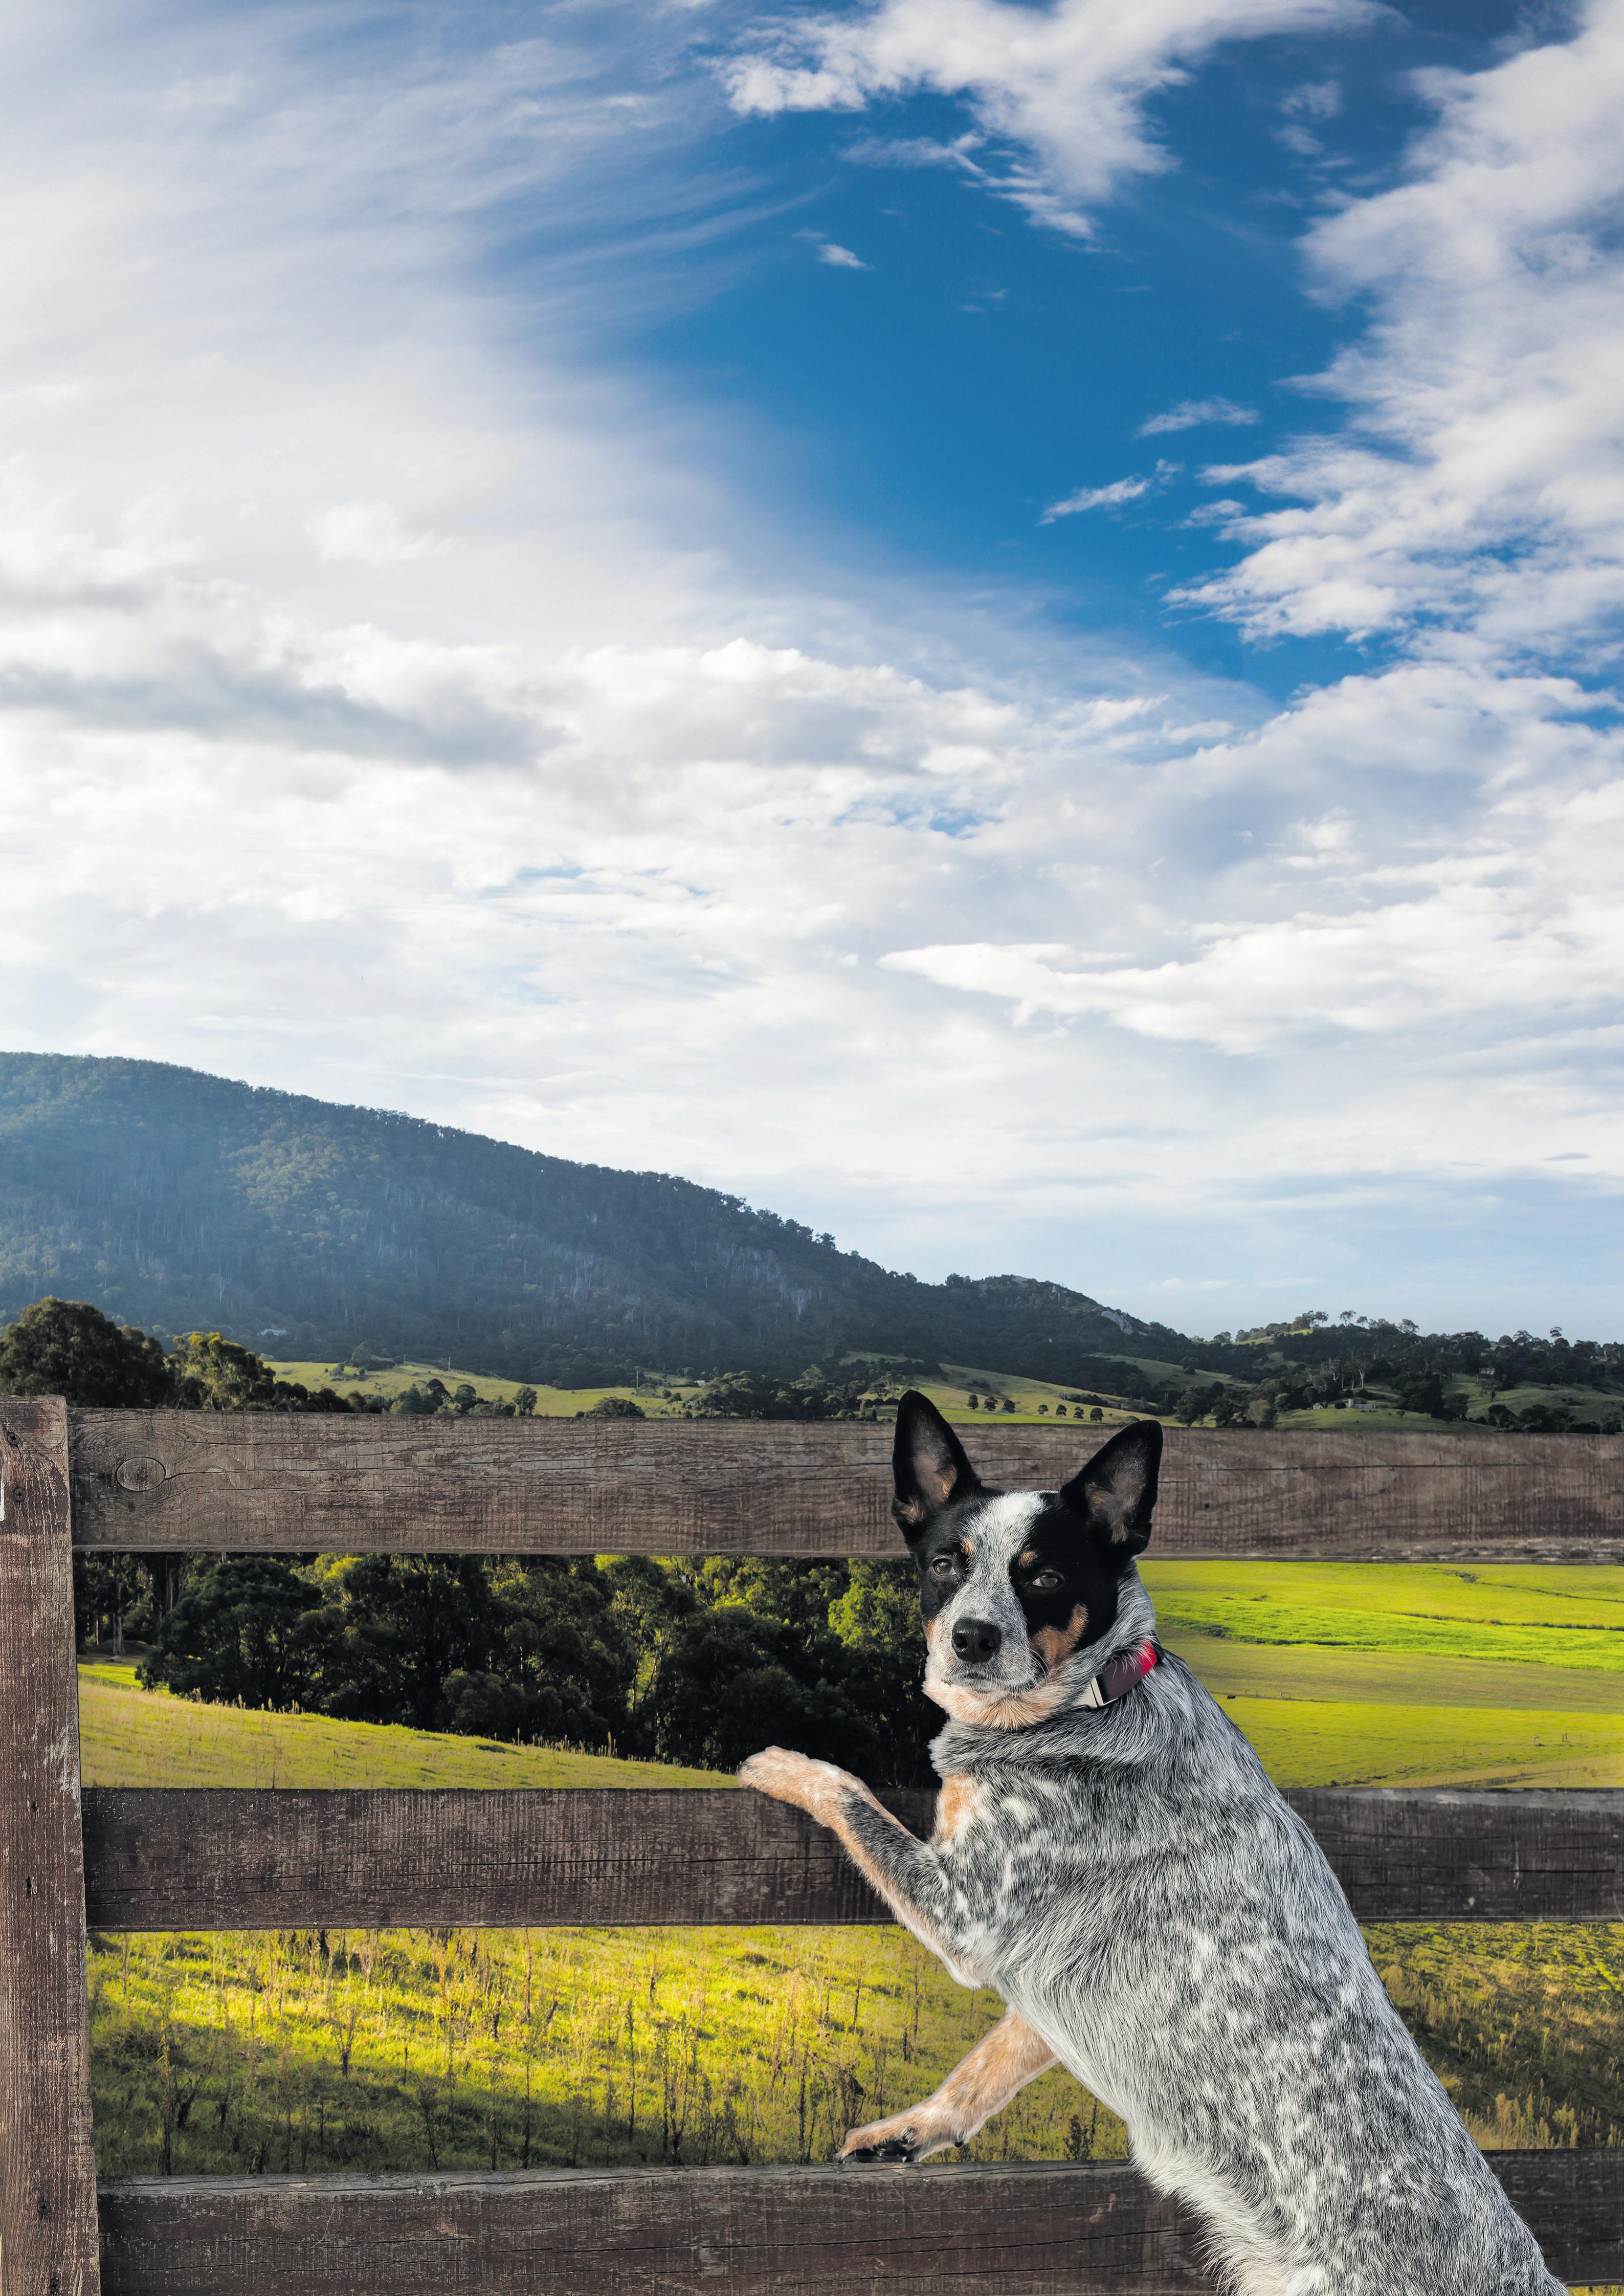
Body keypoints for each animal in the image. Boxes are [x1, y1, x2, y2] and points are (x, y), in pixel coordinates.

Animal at [738, 1393, 1565, 2296]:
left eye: (1043, 1576)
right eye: (944, 1564)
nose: (972, 1638)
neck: (1088, 1703)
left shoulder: (969, 1914)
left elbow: (848, 1793)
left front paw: (781, 1764)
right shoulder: (1044, 1986)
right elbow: (982, 2067)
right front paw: (911, 2131)